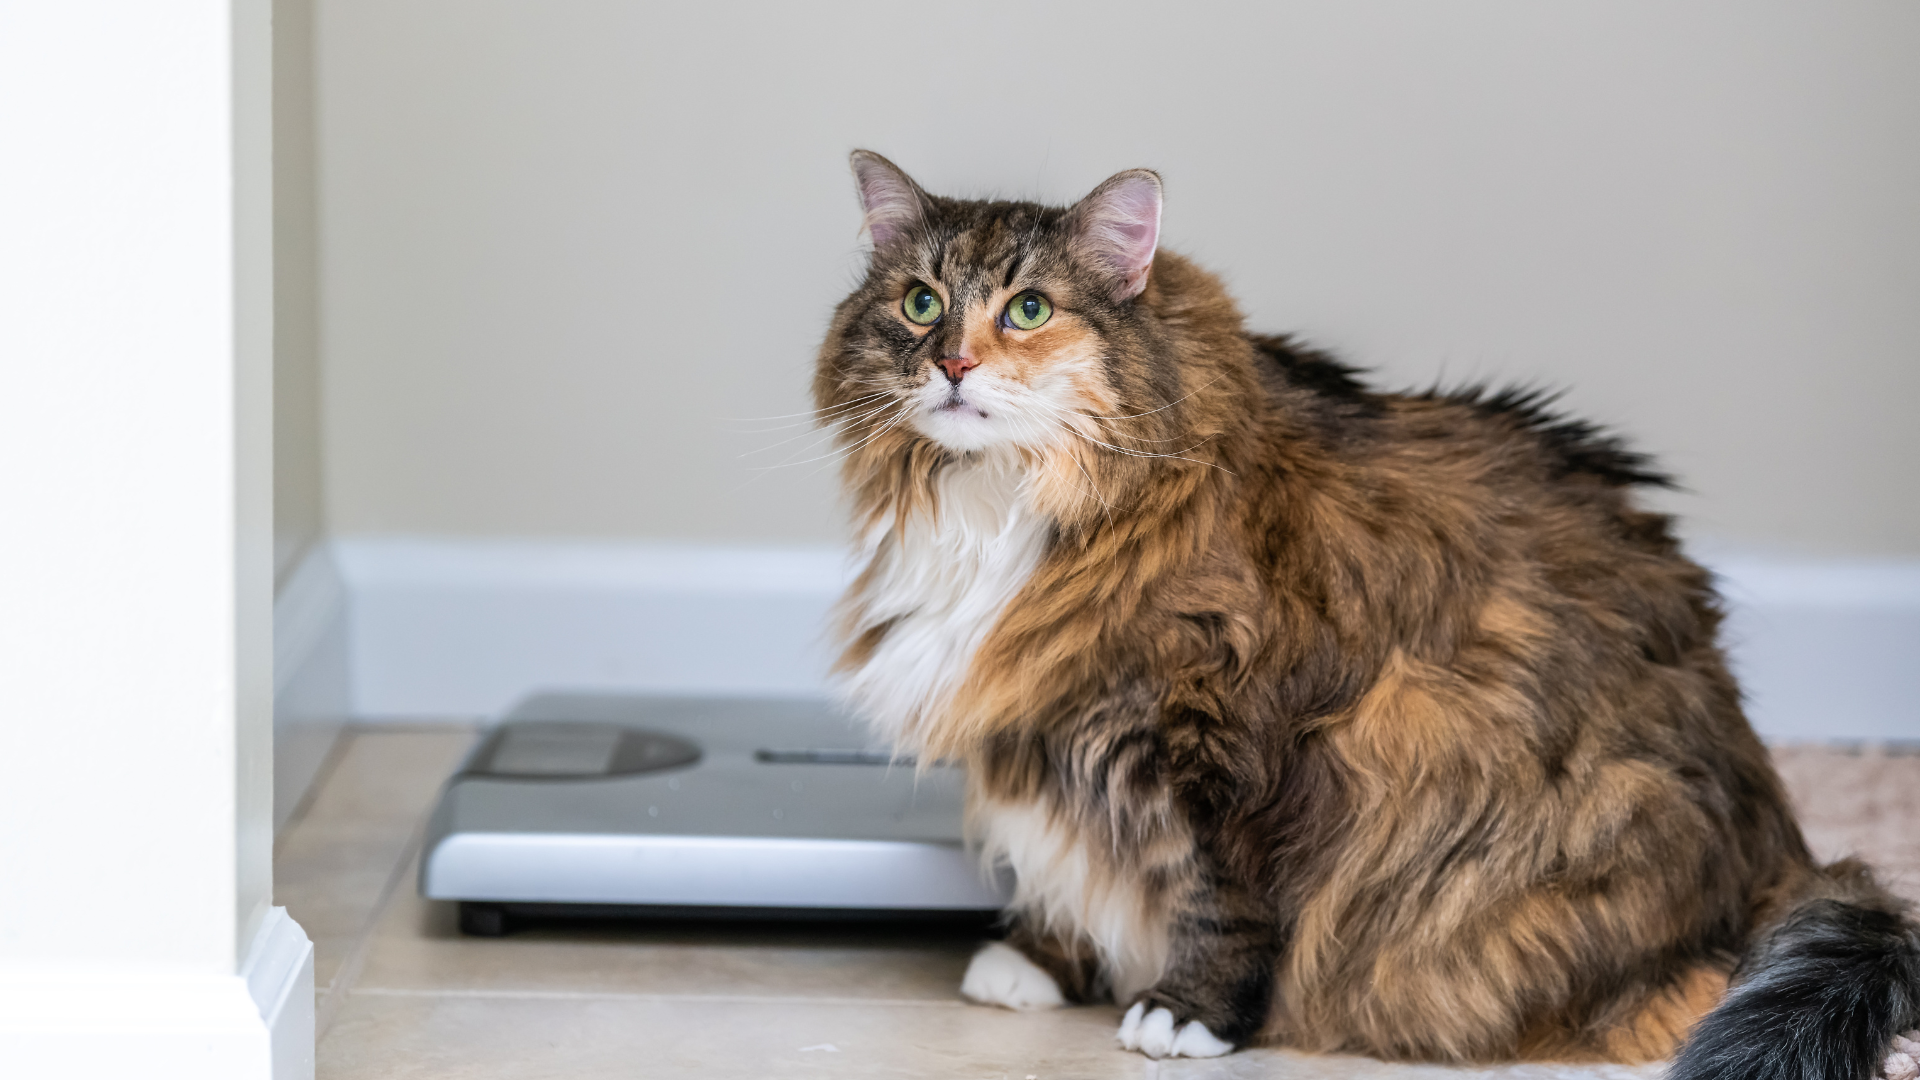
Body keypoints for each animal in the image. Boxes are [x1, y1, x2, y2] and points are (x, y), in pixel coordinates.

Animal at [810, 147, 1920, 1068]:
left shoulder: (1233, 741)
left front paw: (1185, 1016)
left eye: (1030, 310)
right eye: (920, 303)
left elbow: (1218, 897)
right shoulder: (1045, 726)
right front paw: (1041, 959)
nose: (952, 362)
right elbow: (1067, 847)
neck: (999, 504)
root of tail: (1784, 850)